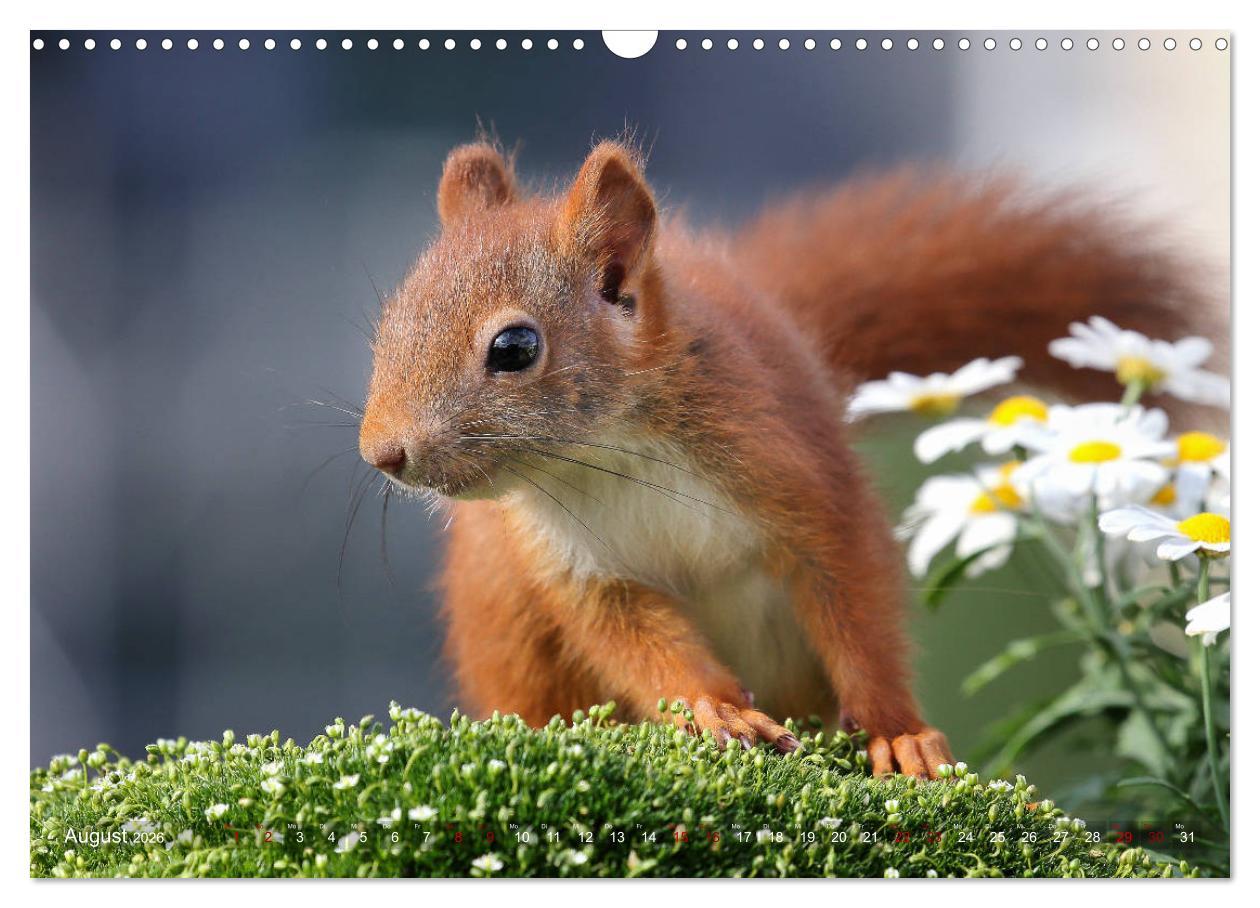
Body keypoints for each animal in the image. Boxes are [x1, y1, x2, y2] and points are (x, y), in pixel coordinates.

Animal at [358, 140, 1215, 778]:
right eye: (389, 323)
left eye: (514, 347)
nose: (382, 453)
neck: (608, 455)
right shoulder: (577, 568)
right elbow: (639, 647)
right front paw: (716, 709)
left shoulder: (801, 478)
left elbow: (856, 605)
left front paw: (899, 732)